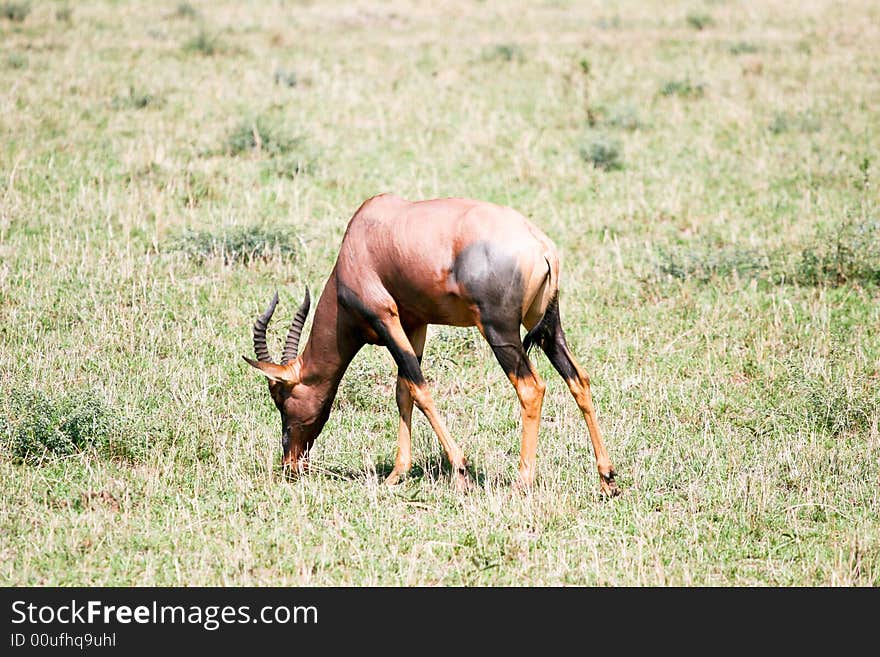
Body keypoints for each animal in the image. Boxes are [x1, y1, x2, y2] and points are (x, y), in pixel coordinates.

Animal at [244, 192, 620, 494]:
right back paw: (607, 479)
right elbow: (404, 390)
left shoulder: (385, 317)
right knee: (578, 379)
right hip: (547, 325)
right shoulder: (415, 324)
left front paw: (461, 469)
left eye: (280, 397)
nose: (291, 463)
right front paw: (396, 474)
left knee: (531, 388)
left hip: (500, 331)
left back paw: (522, 481)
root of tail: (541, 246)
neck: (362, 238)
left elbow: (420, 388)